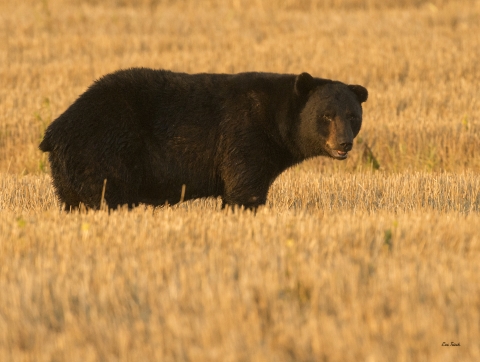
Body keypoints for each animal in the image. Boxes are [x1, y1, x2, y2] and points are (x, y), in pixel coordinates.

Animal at [39, 68, 370, 209]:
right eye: (326, 116)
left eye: (352, 116)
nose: (344, 143)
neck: (274, 117)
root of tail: (55, 130)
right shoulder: (244, 134)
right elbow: (244, 187)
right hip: (102, 150)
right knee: (108, 193)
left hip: (66, 171)